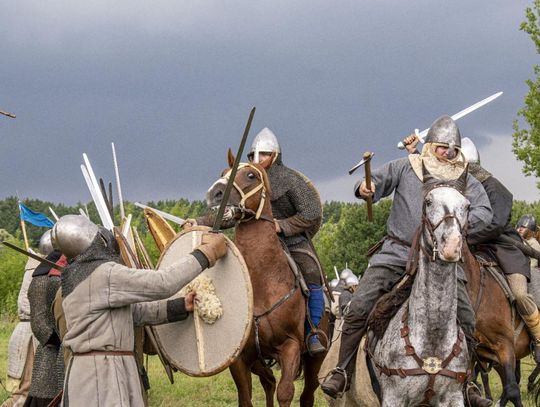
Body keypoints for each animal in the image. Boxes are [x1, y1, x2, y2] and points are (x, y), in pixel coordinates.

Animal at [206, 150, 328, 407]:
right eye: (224, 172)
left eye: (251, 175)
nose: (215, 194)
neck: (263, 282)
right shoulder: (240, 358)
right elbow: (246, 397)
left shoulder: (291, 347)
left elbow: (285, 393)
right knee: (269, 380)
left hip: (315, 359)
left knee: (306, 394)